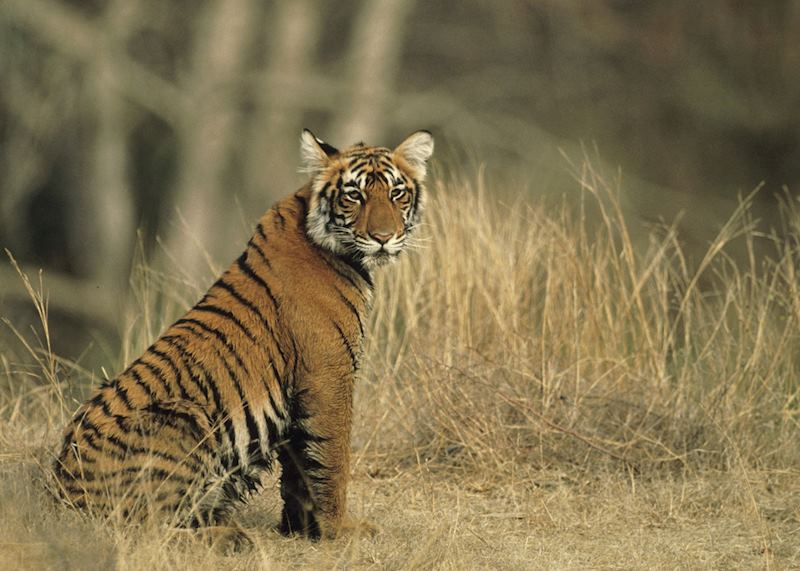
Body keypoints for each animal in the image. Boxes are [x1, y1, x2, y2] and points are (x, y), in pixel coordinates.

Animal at [53, 129, 434, 543]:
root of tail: (60, 492)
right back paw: (230, 537)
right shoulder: (328, 377)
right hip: (184, 418)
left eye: (397, 194)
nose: (383, 237)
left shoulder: (301, 392)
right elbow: (332, 460)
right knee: (151, 526)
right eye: (354, 196)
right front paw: (340, 530)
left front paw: (301, 529)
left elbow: (300, 469)